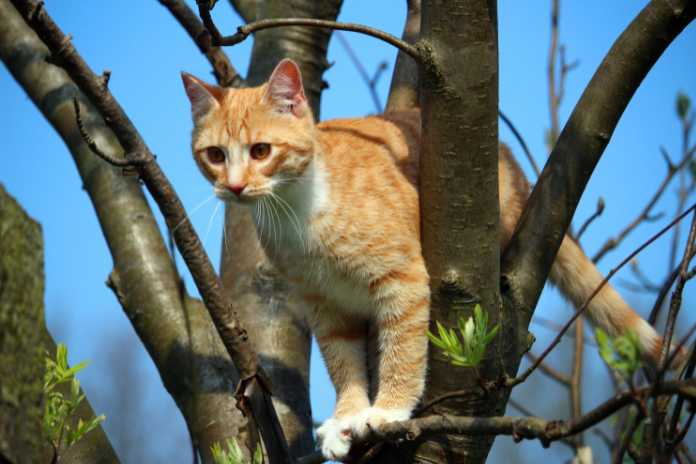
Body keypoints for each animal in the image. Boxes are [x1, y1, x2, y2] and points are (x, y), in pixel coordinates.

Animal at [184, 59, 676, 460]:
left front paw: (387, 411)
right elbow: (343, 363)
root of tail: (514, 167)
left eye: (261, 151)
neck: (297, 211)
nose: (234, 186)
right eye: (214, 156)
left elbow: (403, 350)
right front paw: (347, 418)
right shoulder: (326, 306)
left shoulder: (400, 278)